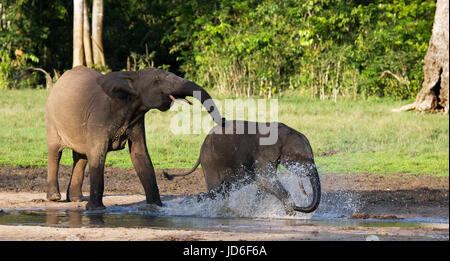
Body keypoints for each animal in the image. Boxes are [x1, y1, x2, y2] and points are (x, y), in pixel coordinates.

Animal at [31, 65, 223, 209]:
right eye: (157, 81)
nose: (222, 122)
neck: (131, 78)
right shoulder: (100, 116)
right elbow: (98, 154)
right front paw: (95, 210)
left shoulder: (137, 120)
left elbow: (140, 155)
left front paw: (156, 207)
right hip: (51, 118)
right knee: (55, 151)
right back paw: (55, 198)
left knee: (81, 156)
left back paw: (77, 200)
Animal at [163, 120, 322, 213]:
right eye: (302, 159)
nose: (298, 205)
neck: (284, 133)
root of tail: (201, 149)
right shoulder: (263, 153)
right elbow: (265, 179)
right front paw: (290, 210)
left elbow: (264, 184)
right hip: (211, 161)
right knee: (215, 191)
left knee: (222, 191)